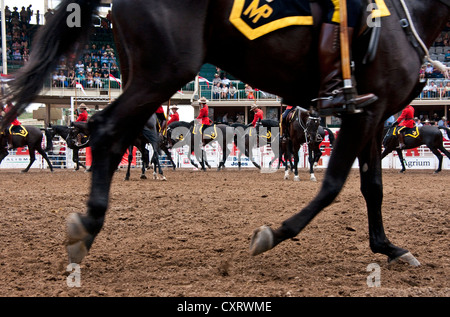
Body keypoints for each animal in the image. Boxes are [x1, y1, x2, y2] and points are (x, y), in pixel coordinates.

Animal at [2, 0, 446, 266]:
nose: (315, 125)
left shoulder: (369, 113)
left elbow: (371, 186)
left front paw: (387, 246)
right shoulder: (366, 115)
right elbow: (335, 183)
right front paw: (276, 233)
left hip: (145, 73)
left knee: (120, 141)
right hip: (163, 70)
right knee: (111, 133)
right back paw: (92, 219)